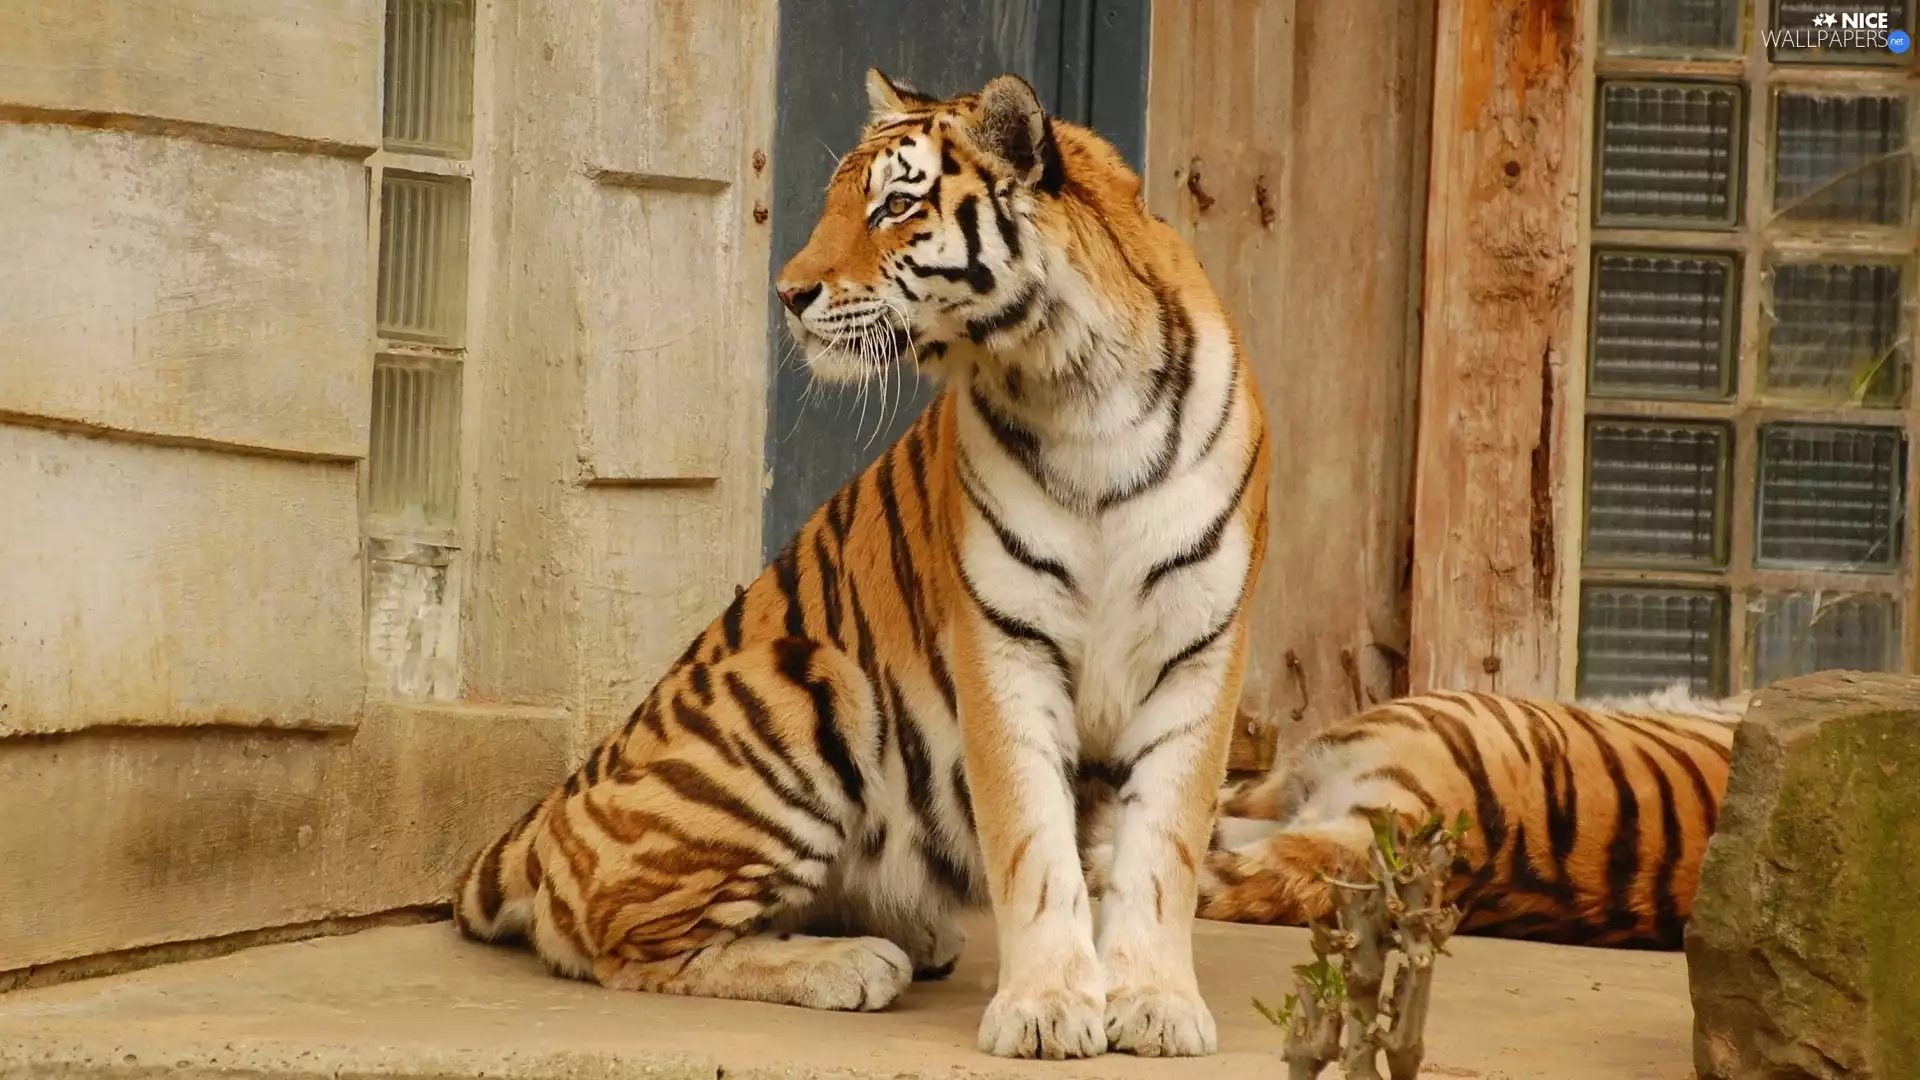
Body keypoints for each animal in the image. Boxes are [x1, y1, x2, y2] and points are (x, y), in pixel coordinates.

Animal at [452, 68, 1269, 1062]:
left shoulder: (1199, 649)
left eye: (896, 206)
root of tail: (549, 812)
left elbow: (1164, 848)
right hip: (804, 679)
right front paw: (1045, 1010)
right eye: (839, 200)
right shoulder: (1004, 646)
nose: (788, 293)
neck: (1077, 385)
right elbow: (1034, 844)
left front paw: (1150, 1003)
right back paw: (851, 964)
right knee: (623, 945)